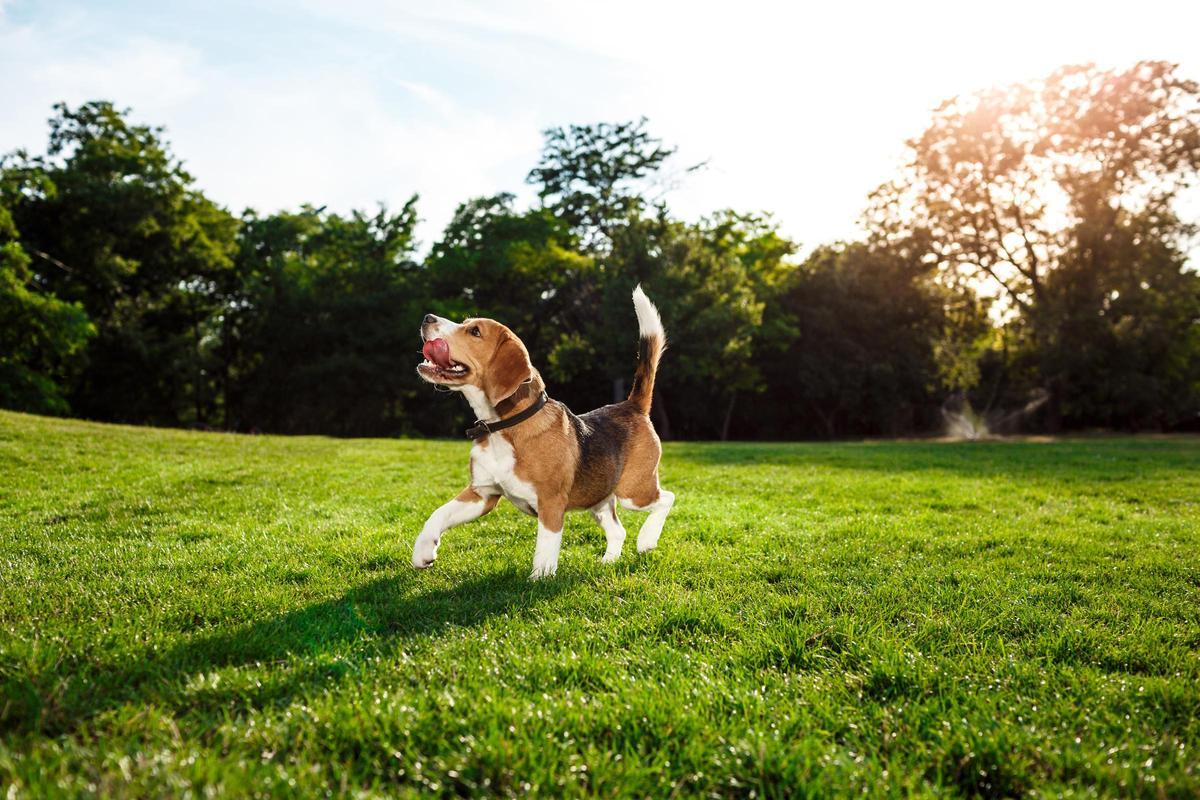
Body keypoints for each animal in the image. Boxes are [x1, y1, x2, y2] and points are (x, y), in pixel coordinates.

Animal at [412, 284, 676, 578]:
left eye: (475, 332)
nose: (427, 318)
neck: (504, 427)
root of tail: (631, 405)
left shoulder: (550, 503)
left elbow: (545, 548)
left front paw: (539, 580)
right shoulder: (482, 494)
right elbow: (438, 514)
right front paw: (423, 551)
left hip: (634, 491)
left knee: (667, 498)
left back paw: (647, 539)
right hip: (598, 499)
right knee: (618, 530)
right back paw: (609, 561)